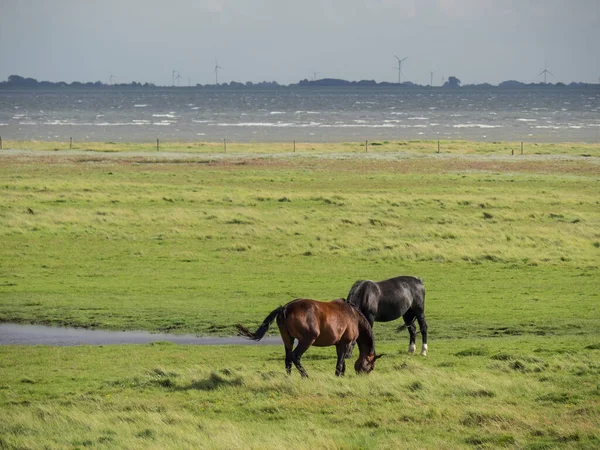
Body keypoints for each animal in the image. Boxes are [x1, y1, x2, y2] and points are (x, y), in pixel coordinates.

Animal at [234, 298, 380, 376]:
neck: (353, 315)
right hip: (307, 340)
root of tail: (285, 308)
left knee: (288, 359)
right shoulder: (346, 343)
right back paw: (305, 375)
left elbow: (341, 361)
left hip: (288, 339)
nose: (363, 375)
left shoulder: (340, 344)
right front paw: (338, 376)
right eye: (371, 367)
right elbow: (340, 362)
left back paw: (289, 378)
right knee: (295, 356)